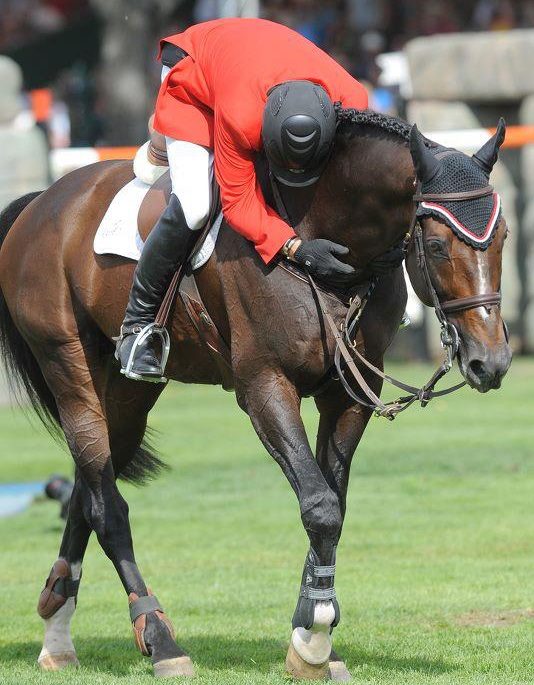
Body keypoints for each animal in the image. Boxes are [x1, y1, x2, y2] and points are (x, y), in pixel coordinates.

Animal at [0, 109, 512, 676]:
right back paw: (159, 638)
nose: (491, 362)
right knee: (108, 507)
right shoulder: (265, 386)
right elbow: (319, 506)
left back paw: (57, 632)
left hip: (130, 396)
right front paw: (313, 638)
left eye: (504, 236)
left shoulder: (352, 393)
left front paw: (311, 632)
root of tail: (44, 200)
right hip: (69, 365)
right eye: (439, 246)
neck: (327, 238)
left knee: (89, 489)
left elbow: (332, 501)